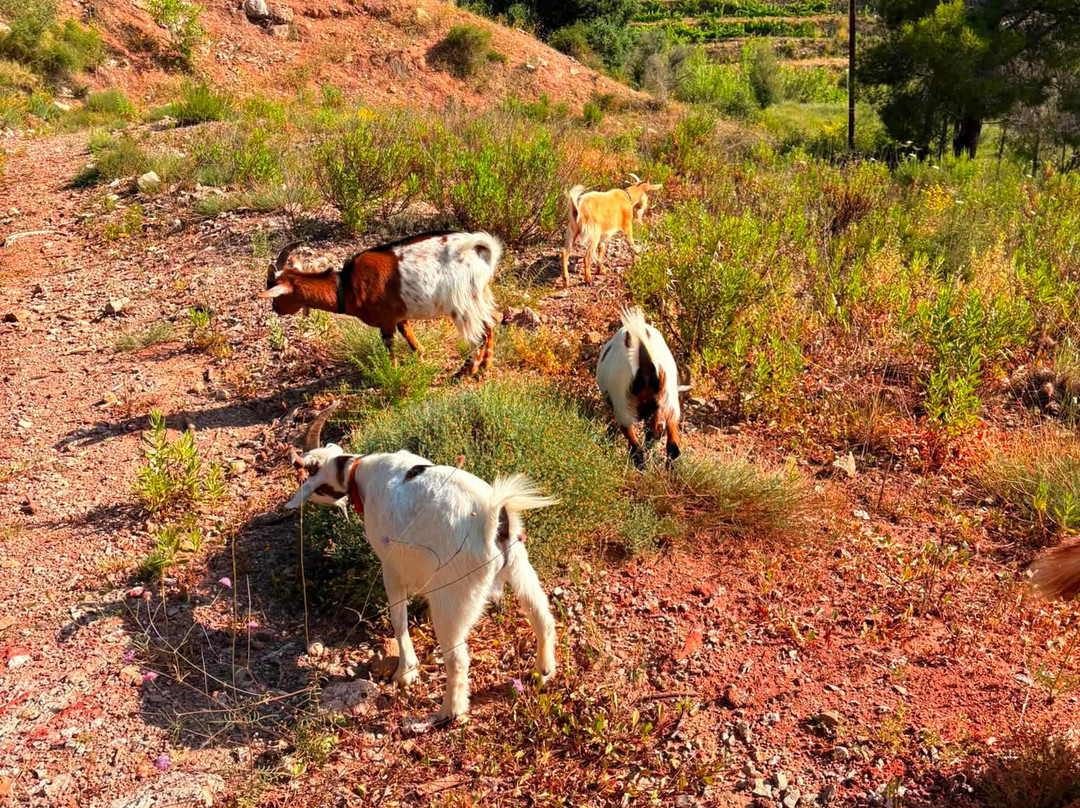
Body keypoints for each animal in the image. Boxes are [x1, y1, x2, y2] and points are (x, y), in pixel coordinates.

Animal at [260, 231, 502, 376]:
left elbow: (389, 345)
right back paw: (485, 366)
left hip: (462, 305)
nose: (275, 309)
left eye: (277, 295)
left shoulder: (386, 321)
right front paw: (420, 357)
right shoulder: (399, 316)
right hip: (479, 297)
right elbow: (409, 335)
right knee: (491, 324)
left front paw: (392, 371)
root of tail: (479, 252)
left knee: (478, 334)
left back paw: (466, 372)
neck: (347, 286)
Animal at [284, 405, 558, 723]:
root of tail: (492, 519)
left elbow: (398, 618)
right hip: (519, 565)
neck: (358, 471)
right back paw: (543, 672)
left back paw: (448, 711)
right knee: (542, 616)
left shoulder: (391, 566)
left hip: (454, 593)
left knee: (458, 658)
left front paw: (406, 671)